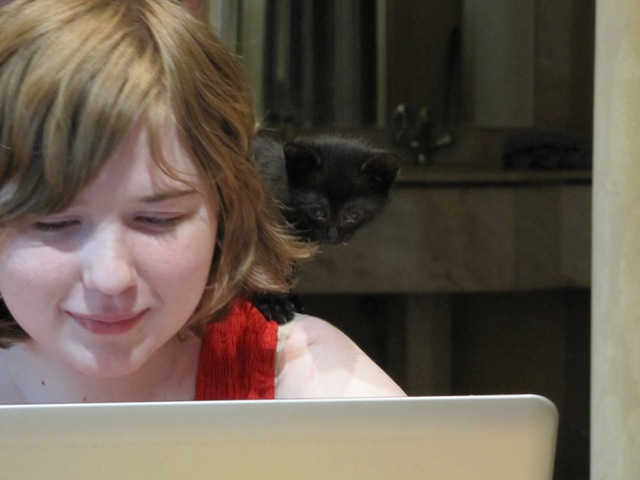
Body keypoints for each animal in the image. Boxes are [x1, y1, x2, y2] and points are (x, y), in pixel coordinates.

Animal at [250, 133, 400, 324]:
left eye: (352, 215)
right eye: (317, 211)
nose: (332, 235)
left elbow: (286, 268)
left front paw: (289, 296)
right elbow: (261, 269)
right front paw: (273, 303)